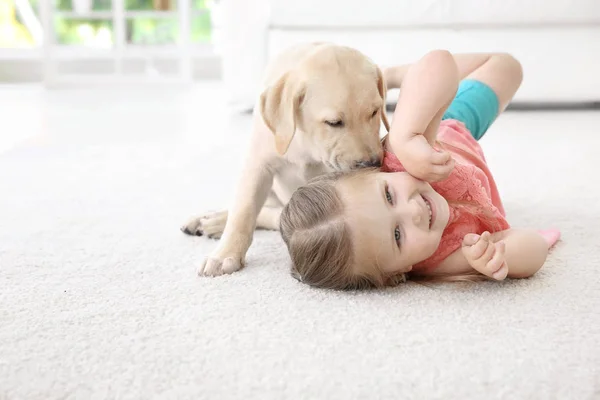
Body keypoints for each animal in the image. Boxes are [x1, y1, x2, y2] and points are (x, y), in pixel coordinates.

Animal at [182, 43, 390, 276]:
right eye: (334, 122)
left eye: (374, 112)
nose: (372, 164)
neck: (307, 145)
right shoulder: (258, 165)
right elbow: (243, 210)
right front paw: (225, 254)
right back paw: (207, 220)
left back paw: (212, 222)